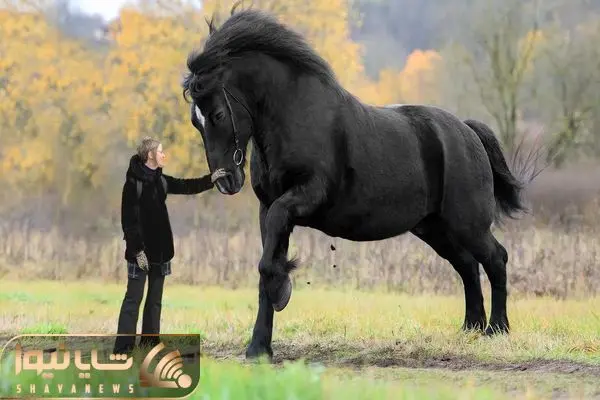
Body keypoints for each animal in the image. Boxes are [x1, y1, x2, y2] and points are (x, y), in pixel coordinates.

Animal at [182, 7, 530, 360]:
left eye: (218, 114)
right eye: (195, 120)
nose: (226, 181)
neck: (295, 116)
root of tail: (467, 131)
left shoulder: (304, 197)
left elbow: (269, 264)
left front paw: (281, 293)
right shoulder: (268, 209)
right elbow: (267, 264)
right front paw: (258, 347)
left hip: (467, 224)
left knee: (496, 258)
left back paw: (496, 329)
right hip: (434, 228)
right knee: (468, 266)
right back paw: (471, 328)